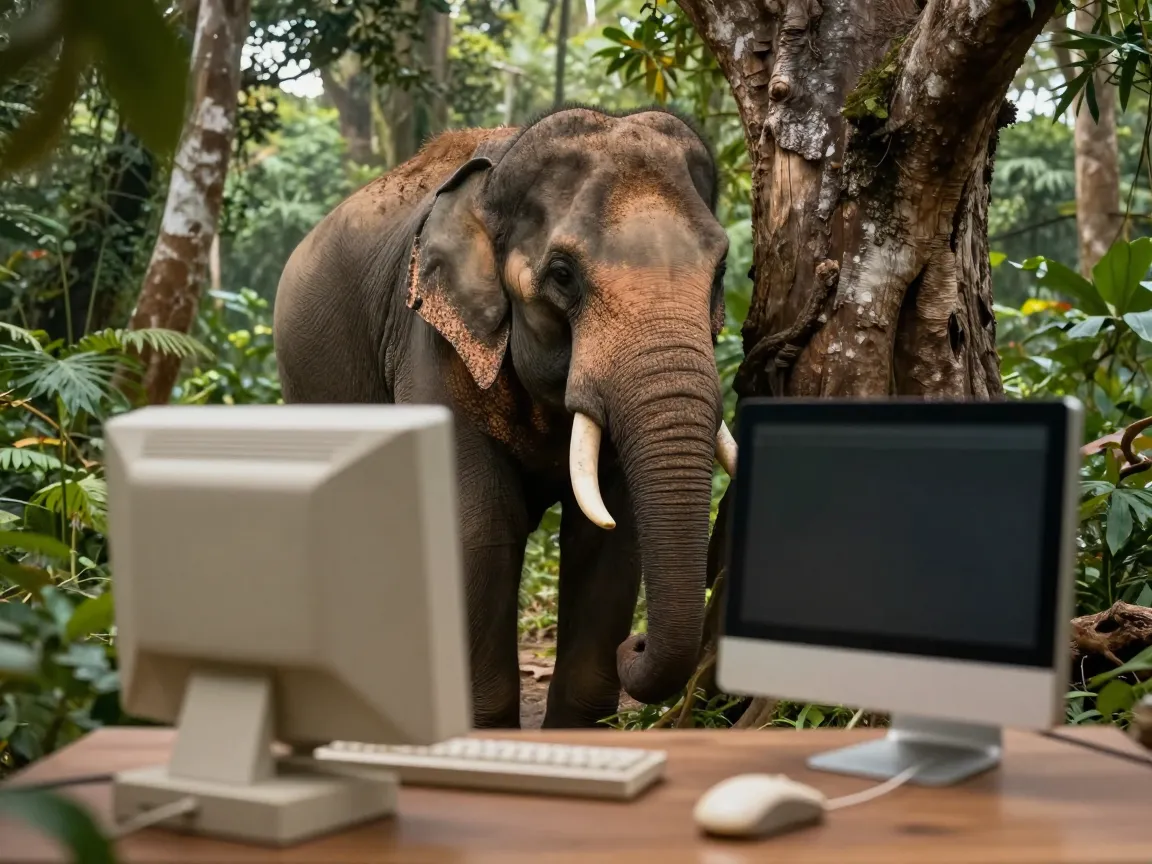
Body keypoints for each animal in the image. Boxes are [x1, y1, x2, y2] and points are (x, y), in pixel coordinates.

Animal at [272, 105, 738, 729]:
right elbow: (478, 526)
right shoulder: (430, 341)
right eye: (562, 274)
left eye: (722, 269)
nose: (635, 644)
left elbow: (610, 533)